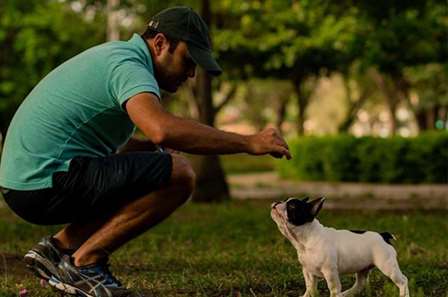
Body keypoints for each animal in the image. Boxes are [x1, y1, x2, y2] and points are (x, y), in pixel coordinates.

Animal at [270, 197, 410, 296]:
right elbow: (310, 288)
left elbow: (333, 289)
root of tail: (383, 235)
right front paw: (306, 295)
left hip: (387, 265)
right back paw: (345, 294)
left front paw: (335, 295)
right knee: (360, 285)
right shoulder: (308, 271)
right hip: (363, 268)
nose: (278, 202)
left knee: (403, 281)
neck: (306, 239)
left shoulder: (330, 272)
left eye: (292, 206)